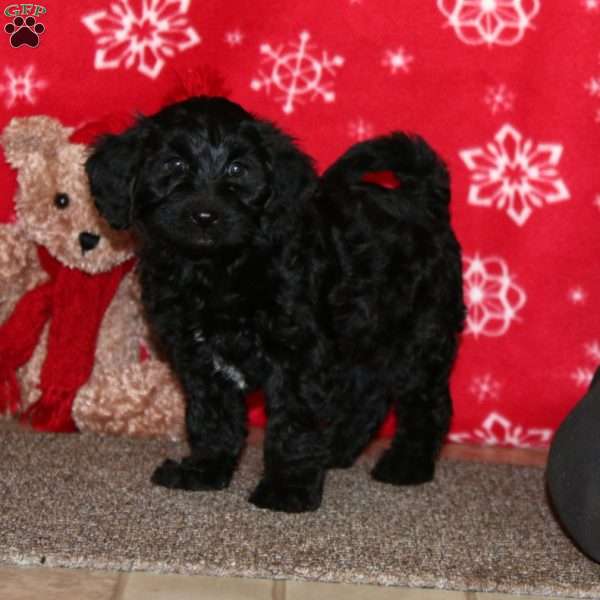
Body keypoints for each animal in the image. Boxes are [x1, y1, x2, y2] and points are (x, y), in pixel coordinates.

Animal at [86, 97, 466, 510]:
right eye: (174, 165)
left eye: (238, 169)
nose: (205, 215)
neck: (218, 269)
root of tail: (423, 200)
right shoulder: (199, 358)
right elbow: (211, 417)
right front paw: (205, 469)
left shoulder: (296, 354)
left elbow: (293, 422)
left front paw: (288, 488)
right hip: (359, 336)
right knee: (367, 393)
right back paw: (335, 449)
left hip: (419, 333)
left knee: (424, 402)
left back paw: (406, 465)